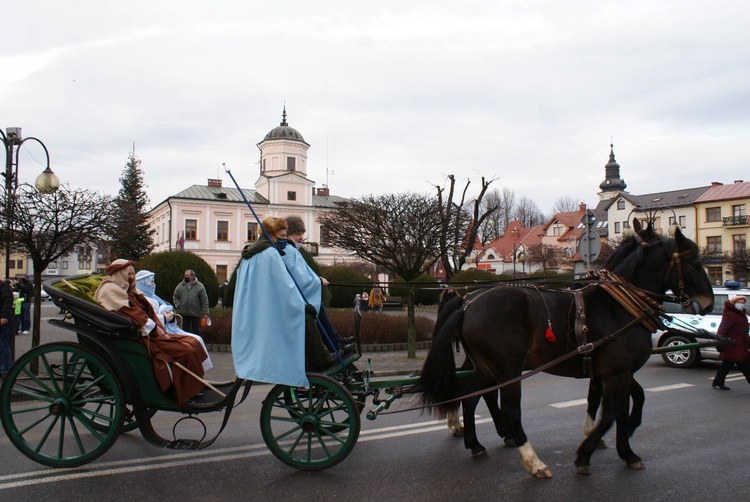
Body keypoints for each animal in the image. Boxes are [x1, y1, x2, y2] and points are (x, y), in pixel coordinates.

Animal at [420, 222, 712, 476]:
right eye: (696, 264)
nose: (708, 304)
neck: (619, 306)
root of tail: (467, 303)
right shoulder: (617, 373)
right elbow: (611, 413)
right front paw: (586, 453)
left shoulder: (613, 373)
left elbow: (620, 403)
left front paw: (624, 448)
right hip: (507, 369)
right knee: (508, 410)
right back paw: (532, 460)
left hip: (485, 366)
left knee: (470, 398)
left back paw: (475, 444)